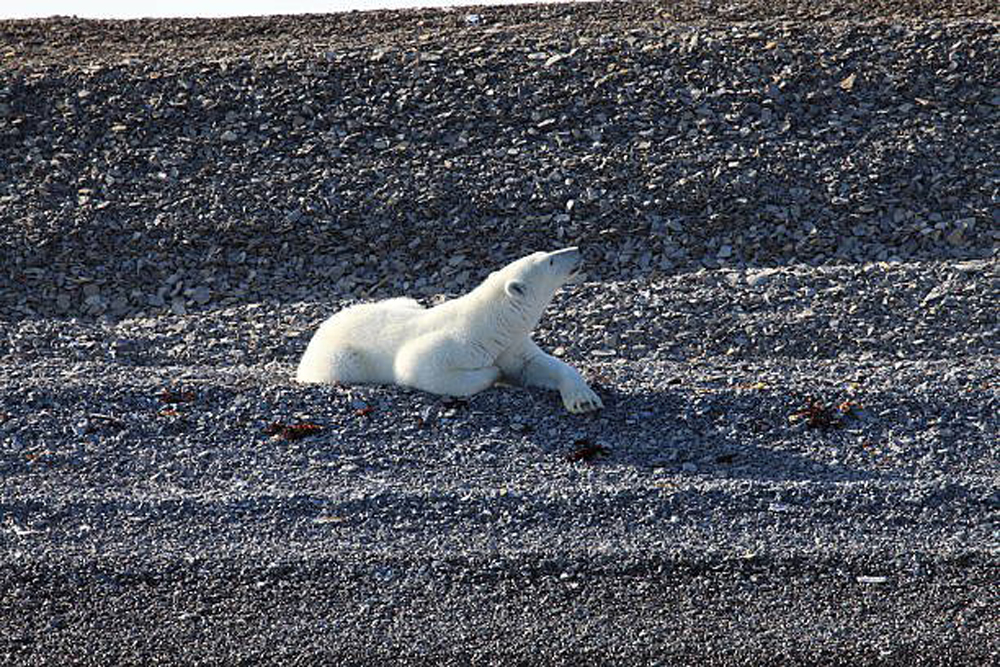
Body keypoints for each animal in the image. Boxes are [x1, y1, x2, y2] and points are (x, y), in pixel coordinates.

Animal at [292, 247, 604, 412]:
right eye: (550, 260)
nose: (576, 250)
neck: (492, 324)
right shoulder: (458, 343)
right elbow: (417, 368)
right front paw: (495, 374)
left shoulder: (510, 344)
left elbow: (537, 365)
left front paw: (583, 399)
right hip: (339, 359)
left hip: (403, 302)